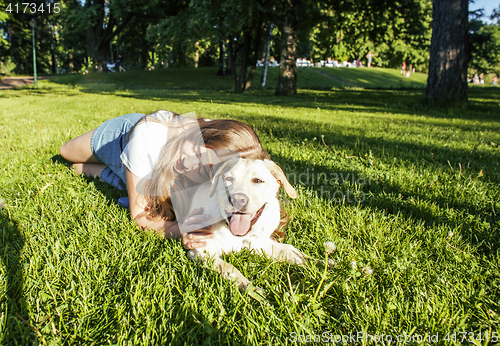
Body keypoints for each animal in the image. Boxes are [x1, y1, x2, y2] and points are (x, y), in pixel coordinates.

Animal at [186, 159, 306, 292]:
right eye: (229, 179)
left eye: (258, 180)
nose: (237, 200)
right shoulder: (201, 249)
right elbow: (229, 268)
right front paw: (249, 287)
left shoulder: (256, 242)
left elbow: (284, 249)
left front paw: (309, 261)